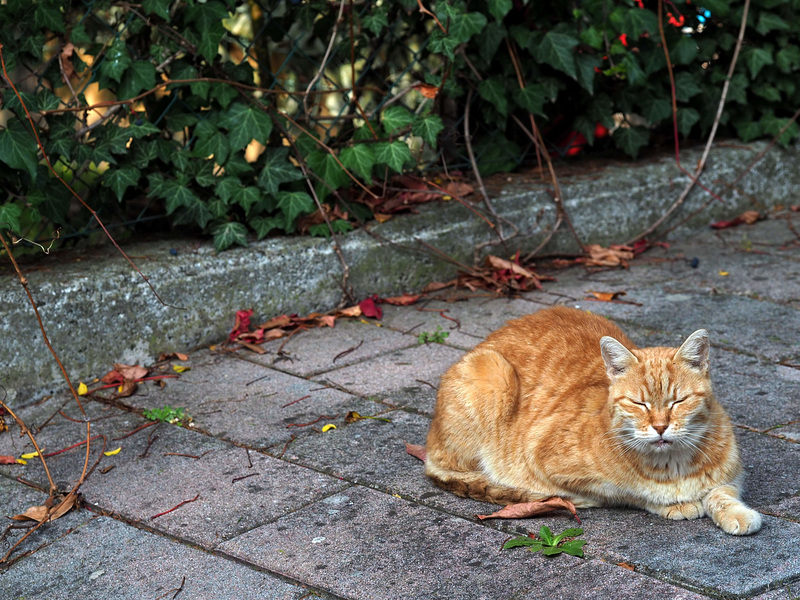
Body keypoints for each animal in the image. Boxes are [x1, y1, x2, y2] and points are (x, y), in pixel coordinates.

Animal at [424, 308, 764, 536]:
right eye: (639, 403)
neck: (673, 464)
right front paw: (673, 502)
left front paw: (735, 512)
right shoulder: (549, 461)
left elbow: (721, 492)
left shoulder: (731, 473)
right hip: (493, 374)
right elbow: (632, 492)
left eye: (678, 401)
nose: (660, 427)